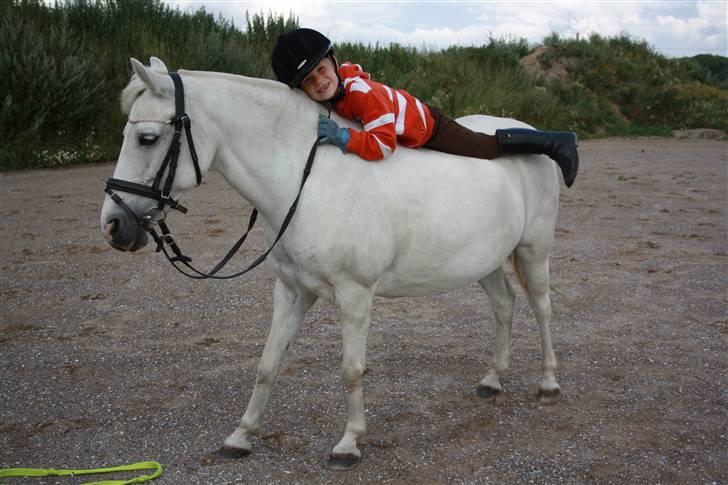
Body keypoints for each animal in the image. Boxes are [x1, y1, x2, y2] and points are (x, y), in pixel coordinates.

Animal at [98, 57, 564, 468]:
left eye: (147, 138)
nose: (114, 225)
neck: (308, 179)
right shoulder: (291, 291)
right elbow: (268, 364)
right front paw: (240, 436)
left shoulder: (355, 294)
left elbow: (351, 371)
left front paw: (348, 445)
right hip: (485, 261)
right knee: (504, 305)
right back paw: (492, 380)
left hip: (533, 251)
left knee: (542, 309)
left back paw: (548, 384)